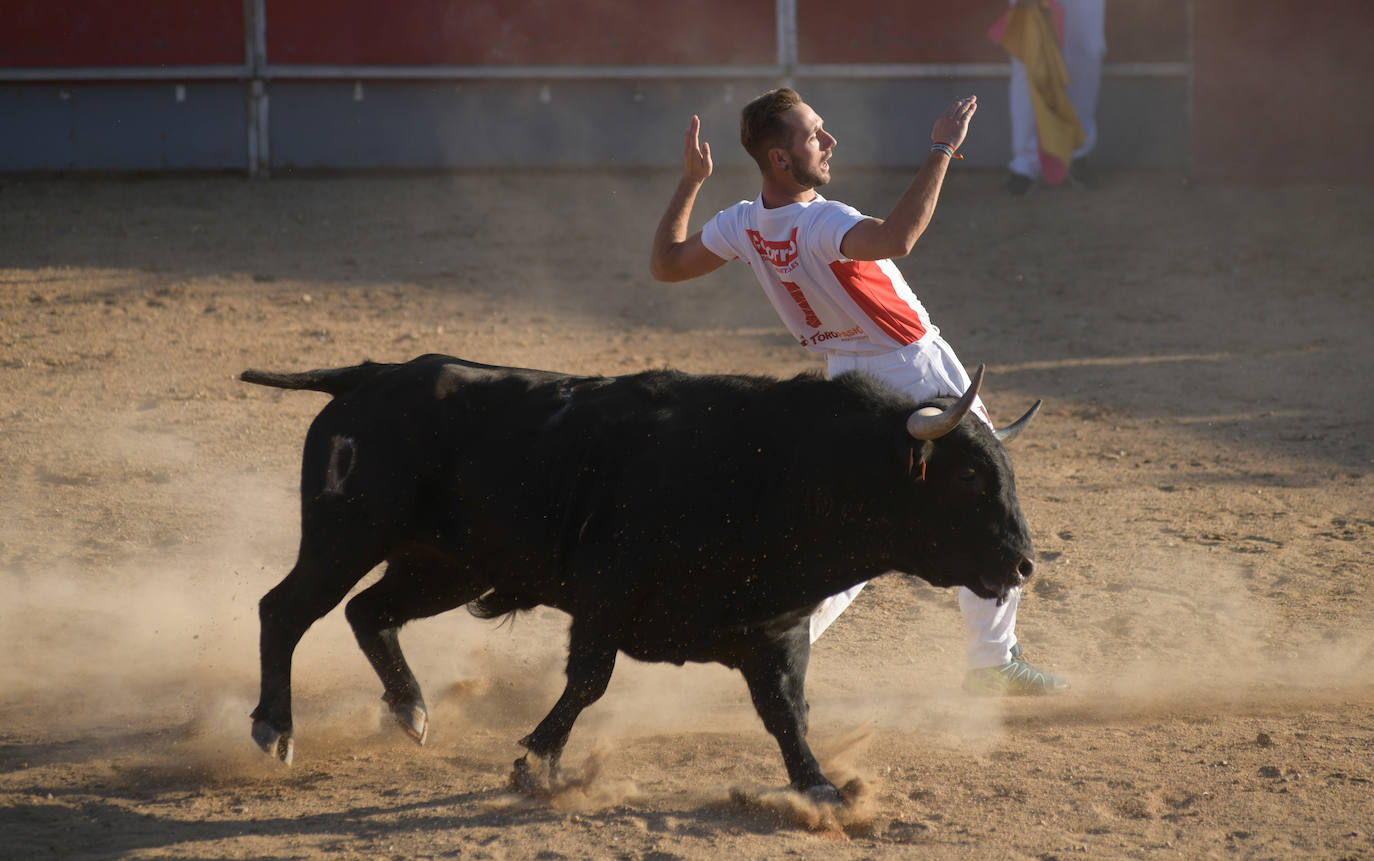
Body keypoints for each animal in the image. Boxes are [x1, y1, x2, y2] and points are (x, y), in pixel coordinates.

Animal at [241, 350, 1033, 801]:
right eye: (969, 477)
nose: (1023, 563)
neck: (779, 469)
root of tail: (371, 375)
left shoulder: (775, 630)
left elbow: (786, 711)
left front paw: (819, 788)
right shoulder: (604, 601)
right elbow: (588, 683)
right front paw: (535, 763)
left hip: (446, 567)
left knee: (368, 613)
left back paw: (410, 709)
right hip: (346, 536)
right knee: (285, 610)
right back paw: (275, 727)